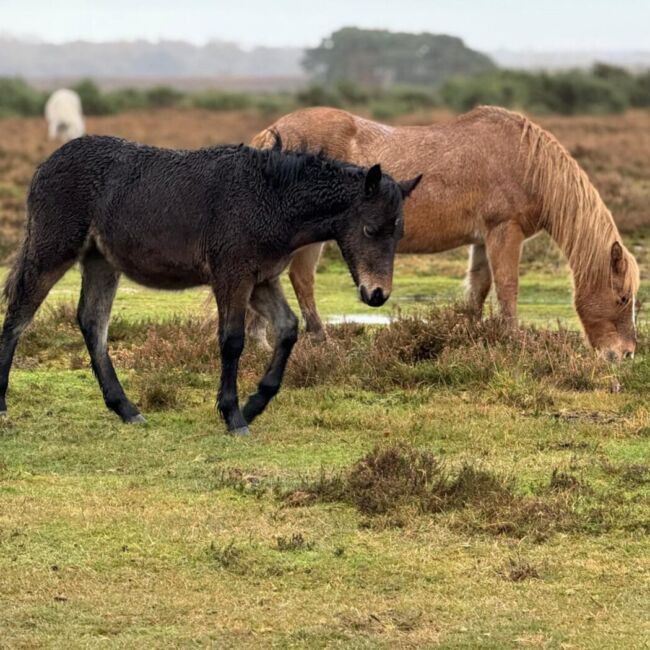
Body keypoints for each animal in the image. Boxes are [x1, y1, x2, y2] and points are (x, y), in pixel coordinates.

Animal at [0, 135, 421, 435]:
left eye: (400, 233)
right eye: (370, 229)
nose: (376, 294)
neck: (271, 197)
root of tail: (43, 166)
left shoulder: (262, 279)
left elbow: (287, 329)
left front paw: (254, 404)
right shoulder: (231, 277)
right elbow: (232, 340)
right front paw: (233, 416)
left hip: (101, 261)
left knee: (93, 323)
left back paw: (127, 409)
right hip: (53, 250)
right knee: (19, 316)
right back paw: (3, 404)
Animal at [248, 106, 640, 362]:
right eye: (623, 298)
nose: (626, 355)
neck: (528, 163)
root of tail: (273, 133)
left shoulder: (483, 240)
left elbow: (479, 288)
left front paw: (467, 336)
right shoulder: (505, 232)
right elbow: (508, 286)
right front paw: (514, 342)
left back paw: (261, 342)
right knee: (299, 279)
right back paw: (311, 340)